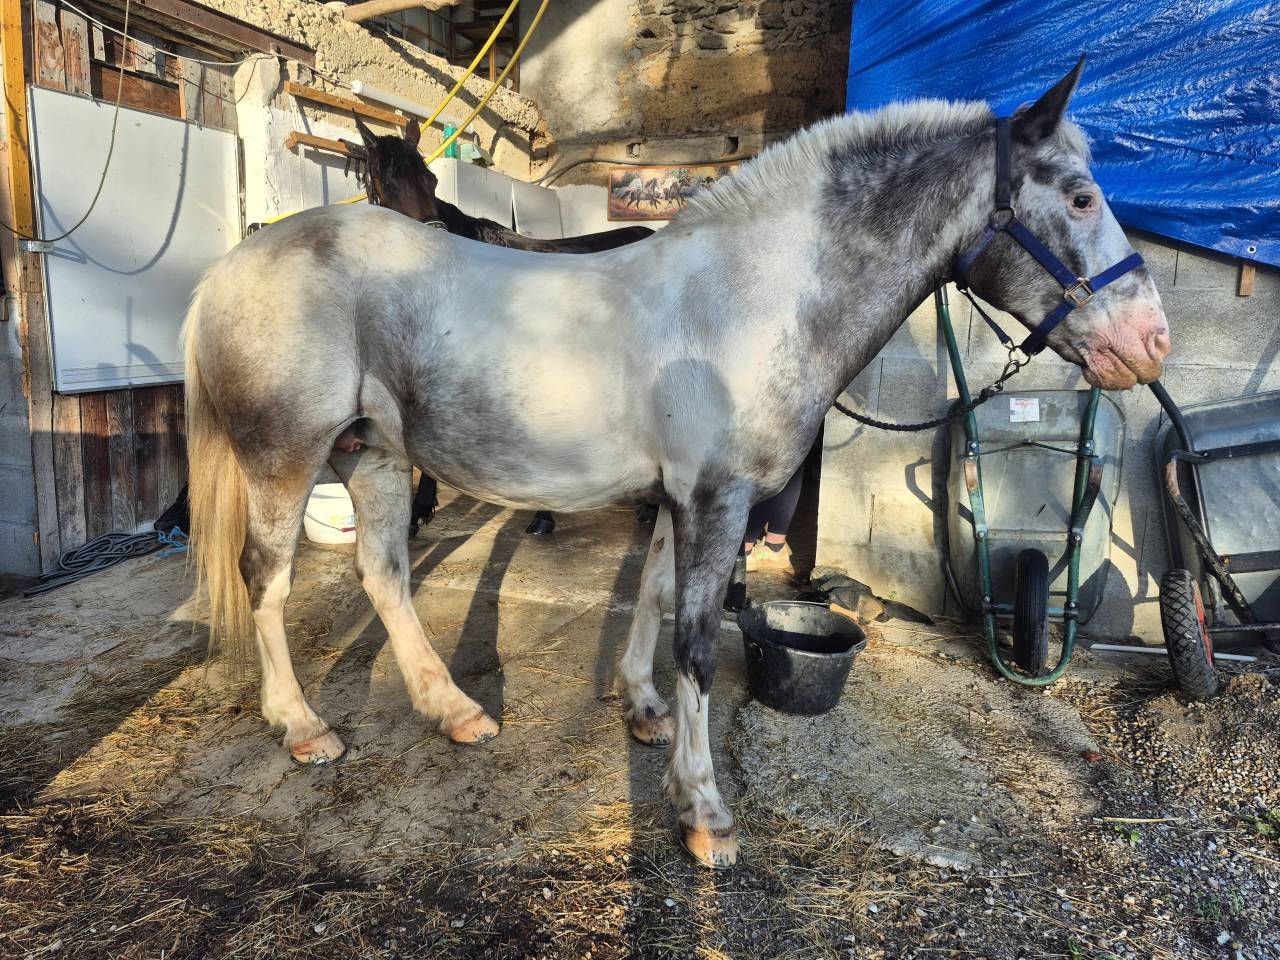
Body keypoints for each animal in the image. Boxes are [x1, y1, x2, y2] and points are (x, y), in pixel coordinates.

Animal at [184, 60, 1169, 869]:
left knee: (384, 574)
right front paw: (702, 811)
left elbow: (652, 596)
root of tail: (235, 264)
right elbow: (697, 641)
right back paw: (302, 725)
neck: (750, 297)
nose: (1151, 342)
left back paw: (454, 710)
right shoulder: (718, 500)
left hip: (376, 456)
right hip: (285, 453)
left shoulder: (679, 498)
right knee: (267, 576)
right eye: (1081, 197)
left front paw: (642, 711)